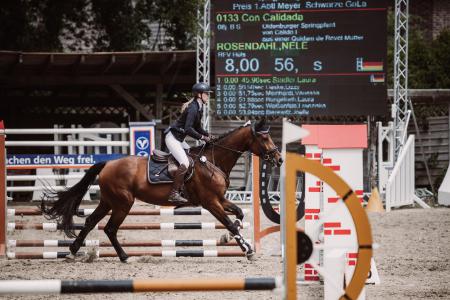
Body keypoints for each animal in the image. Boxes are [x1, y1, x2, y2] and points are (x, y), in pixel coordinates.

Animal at [41, 118, 282, 262]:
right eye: (264, 137)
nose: (279, 159)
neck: (213, 161)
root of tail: (108, 163)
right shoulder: (211, 202)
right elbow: (231, 223)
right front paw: (247, 250)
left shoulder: (220, 199)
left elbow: (239, 215)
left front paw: (228, 238)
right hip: (123, 203)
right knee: (110, 228)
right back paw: (124, 256)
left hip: (108, 201)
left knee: (92, 222)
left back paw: (72, 252)